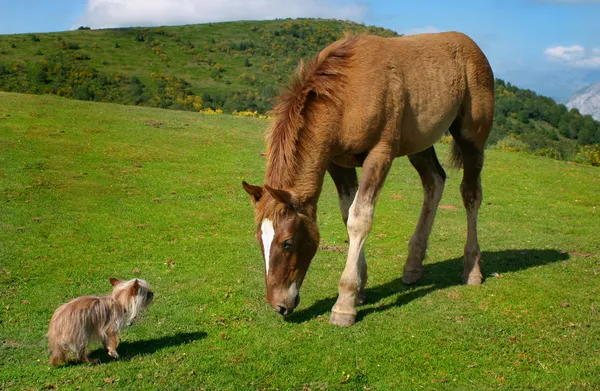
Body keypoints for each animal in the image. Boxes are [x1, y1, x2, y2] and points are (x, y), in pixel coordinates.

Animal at [241, 32, 494, 328]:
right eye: (260, 239)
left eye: (287, 242)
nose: (279, 305)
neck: (346, 96)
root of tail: (471, 45)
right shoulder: (337, 163)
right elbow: (347, 215)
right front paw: (360, 289)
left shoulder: (380, 155)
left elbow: (360, 218)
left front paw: (345, 304)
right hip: (419, 143)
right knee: (434, 181)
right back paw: (413, 266)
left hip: (472, 138)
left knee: (471, 194)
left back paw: (472, 270)